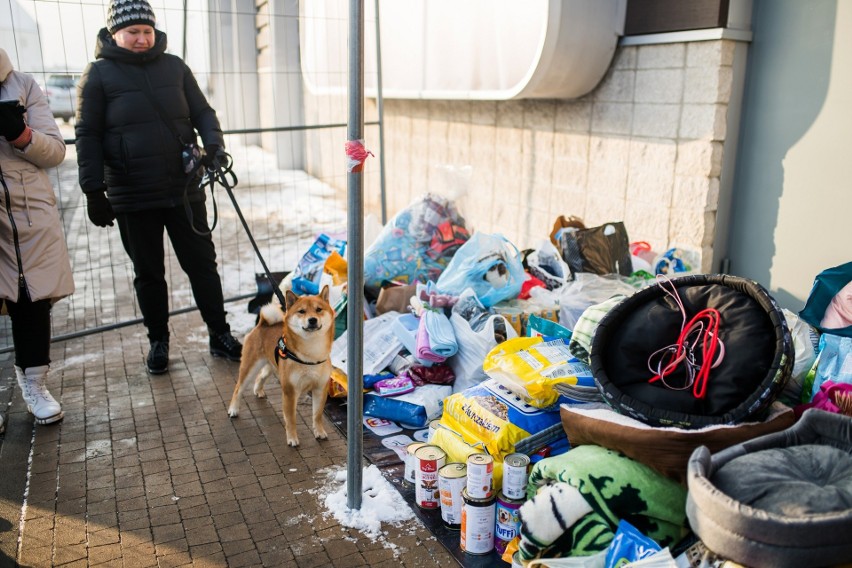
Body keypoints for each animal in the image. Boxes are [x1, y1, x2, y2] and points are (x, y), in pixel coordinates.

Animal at [228, 286, 334, 446]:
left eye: (319, 309)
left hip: (272, 366)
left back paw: (258, 390)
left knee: (261, 376)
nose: (312, 320)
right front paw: (292, 438)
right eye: (302, 311)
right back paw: (233, 409)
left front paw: (319, 432)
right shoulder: (290, 391)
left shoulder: (320, 388)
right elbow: (291, 419)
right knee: (238, 388)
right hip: (249, 366)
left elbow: (317, 415)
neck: (311, 353)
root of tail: (263, 324)